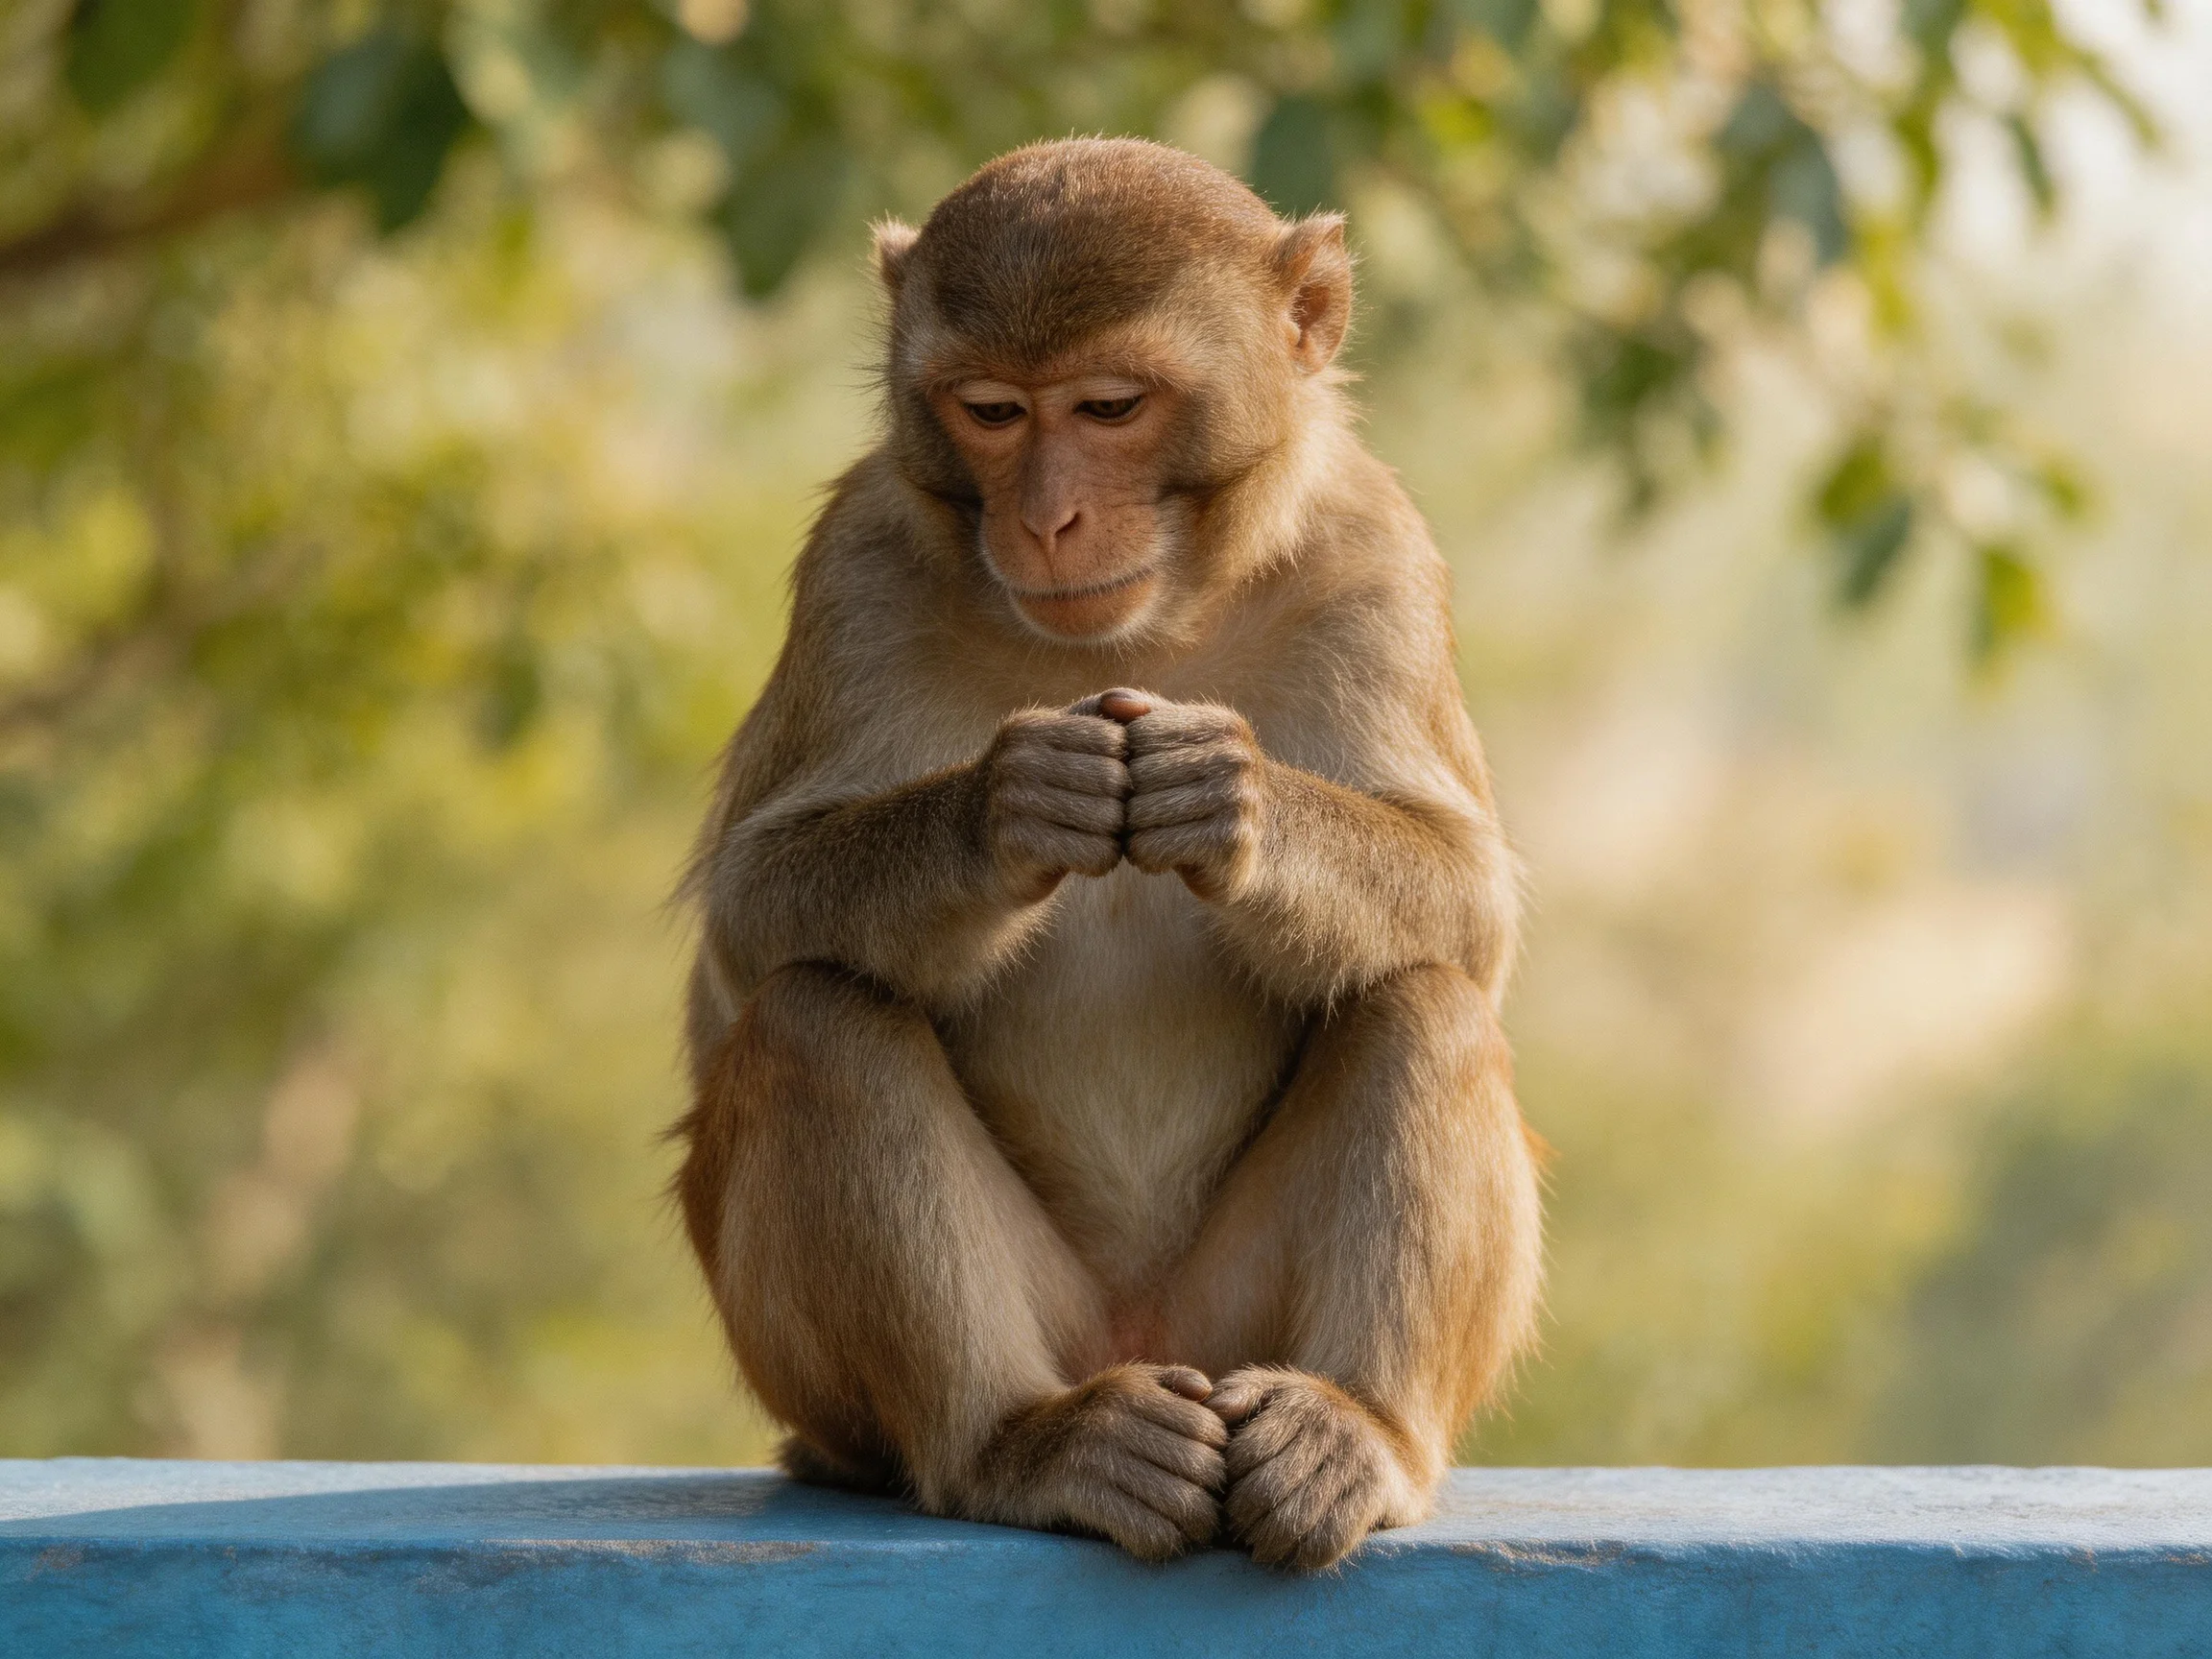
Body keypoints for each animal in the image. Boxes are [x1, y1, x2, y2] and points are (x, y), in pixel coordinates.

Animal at [674, 138, 1542, 1573]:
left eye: (1110, 406)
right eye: (990, 411)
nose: (1049, 520)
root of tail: (1145, 1338)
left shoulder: (1377, 557)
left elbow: (1471, 917)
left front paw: (1229, 797)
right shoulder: (856, 566)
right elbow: (751, 917)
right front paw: (1007, 806)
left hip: (1230, 1323)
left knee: (1424, 999)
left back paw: (1353, 1429)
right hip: (908, 1355)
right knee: (814, 1016)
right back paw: (1020, 1442)